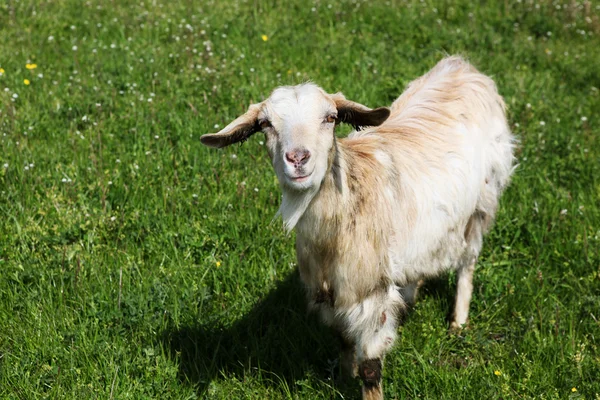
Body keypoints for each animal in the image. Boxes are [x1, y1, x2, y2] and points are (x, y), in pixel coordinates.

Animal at [200, 57, 516, 400]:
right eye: (266, 124)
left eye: (330, 118)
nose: (297, 158)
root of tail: (460, 65)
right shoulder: (331, 292)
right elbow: (342, 341)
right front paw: (342, 378)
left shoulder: (369, 295)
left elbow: (370, 367)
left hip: (482, 205)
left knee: (467, 263)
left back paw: (458, 322)